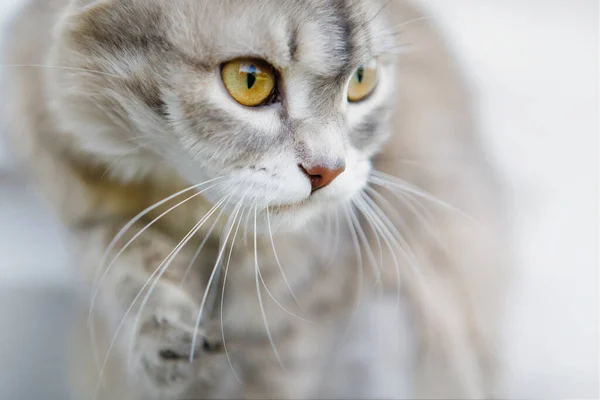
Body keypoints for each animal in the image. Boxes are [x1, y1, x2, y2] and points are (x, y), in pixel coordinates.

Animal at [2, 0, 512, 398]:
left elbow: (273, 376)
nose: (328, 172)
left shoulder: (310, 301)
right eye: (249, 80)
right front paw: (172, 341)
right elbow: (130, 266)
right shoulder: (90, 206)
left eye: (362, 80)